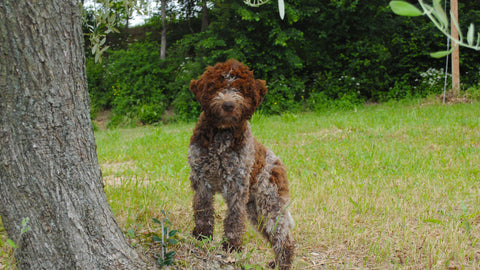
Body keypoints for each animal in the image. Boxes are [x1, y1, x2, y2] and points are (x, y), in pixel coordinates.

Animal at [188, 59, 296, 268]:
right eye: (216, 87)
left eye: (239, 88)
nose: (228, 105)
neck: (222, 135)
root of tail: (278, 162)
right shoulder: (201, 179)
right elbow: (203, 210)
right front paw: (202, 236)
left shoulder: (237, 185)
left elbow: (234, 218)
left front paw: (231, 246)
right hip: (255, 209)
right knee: (274, 235)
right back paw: (276, 262)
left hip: (269, 202)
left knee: (284, 237)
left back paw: (283, 263)